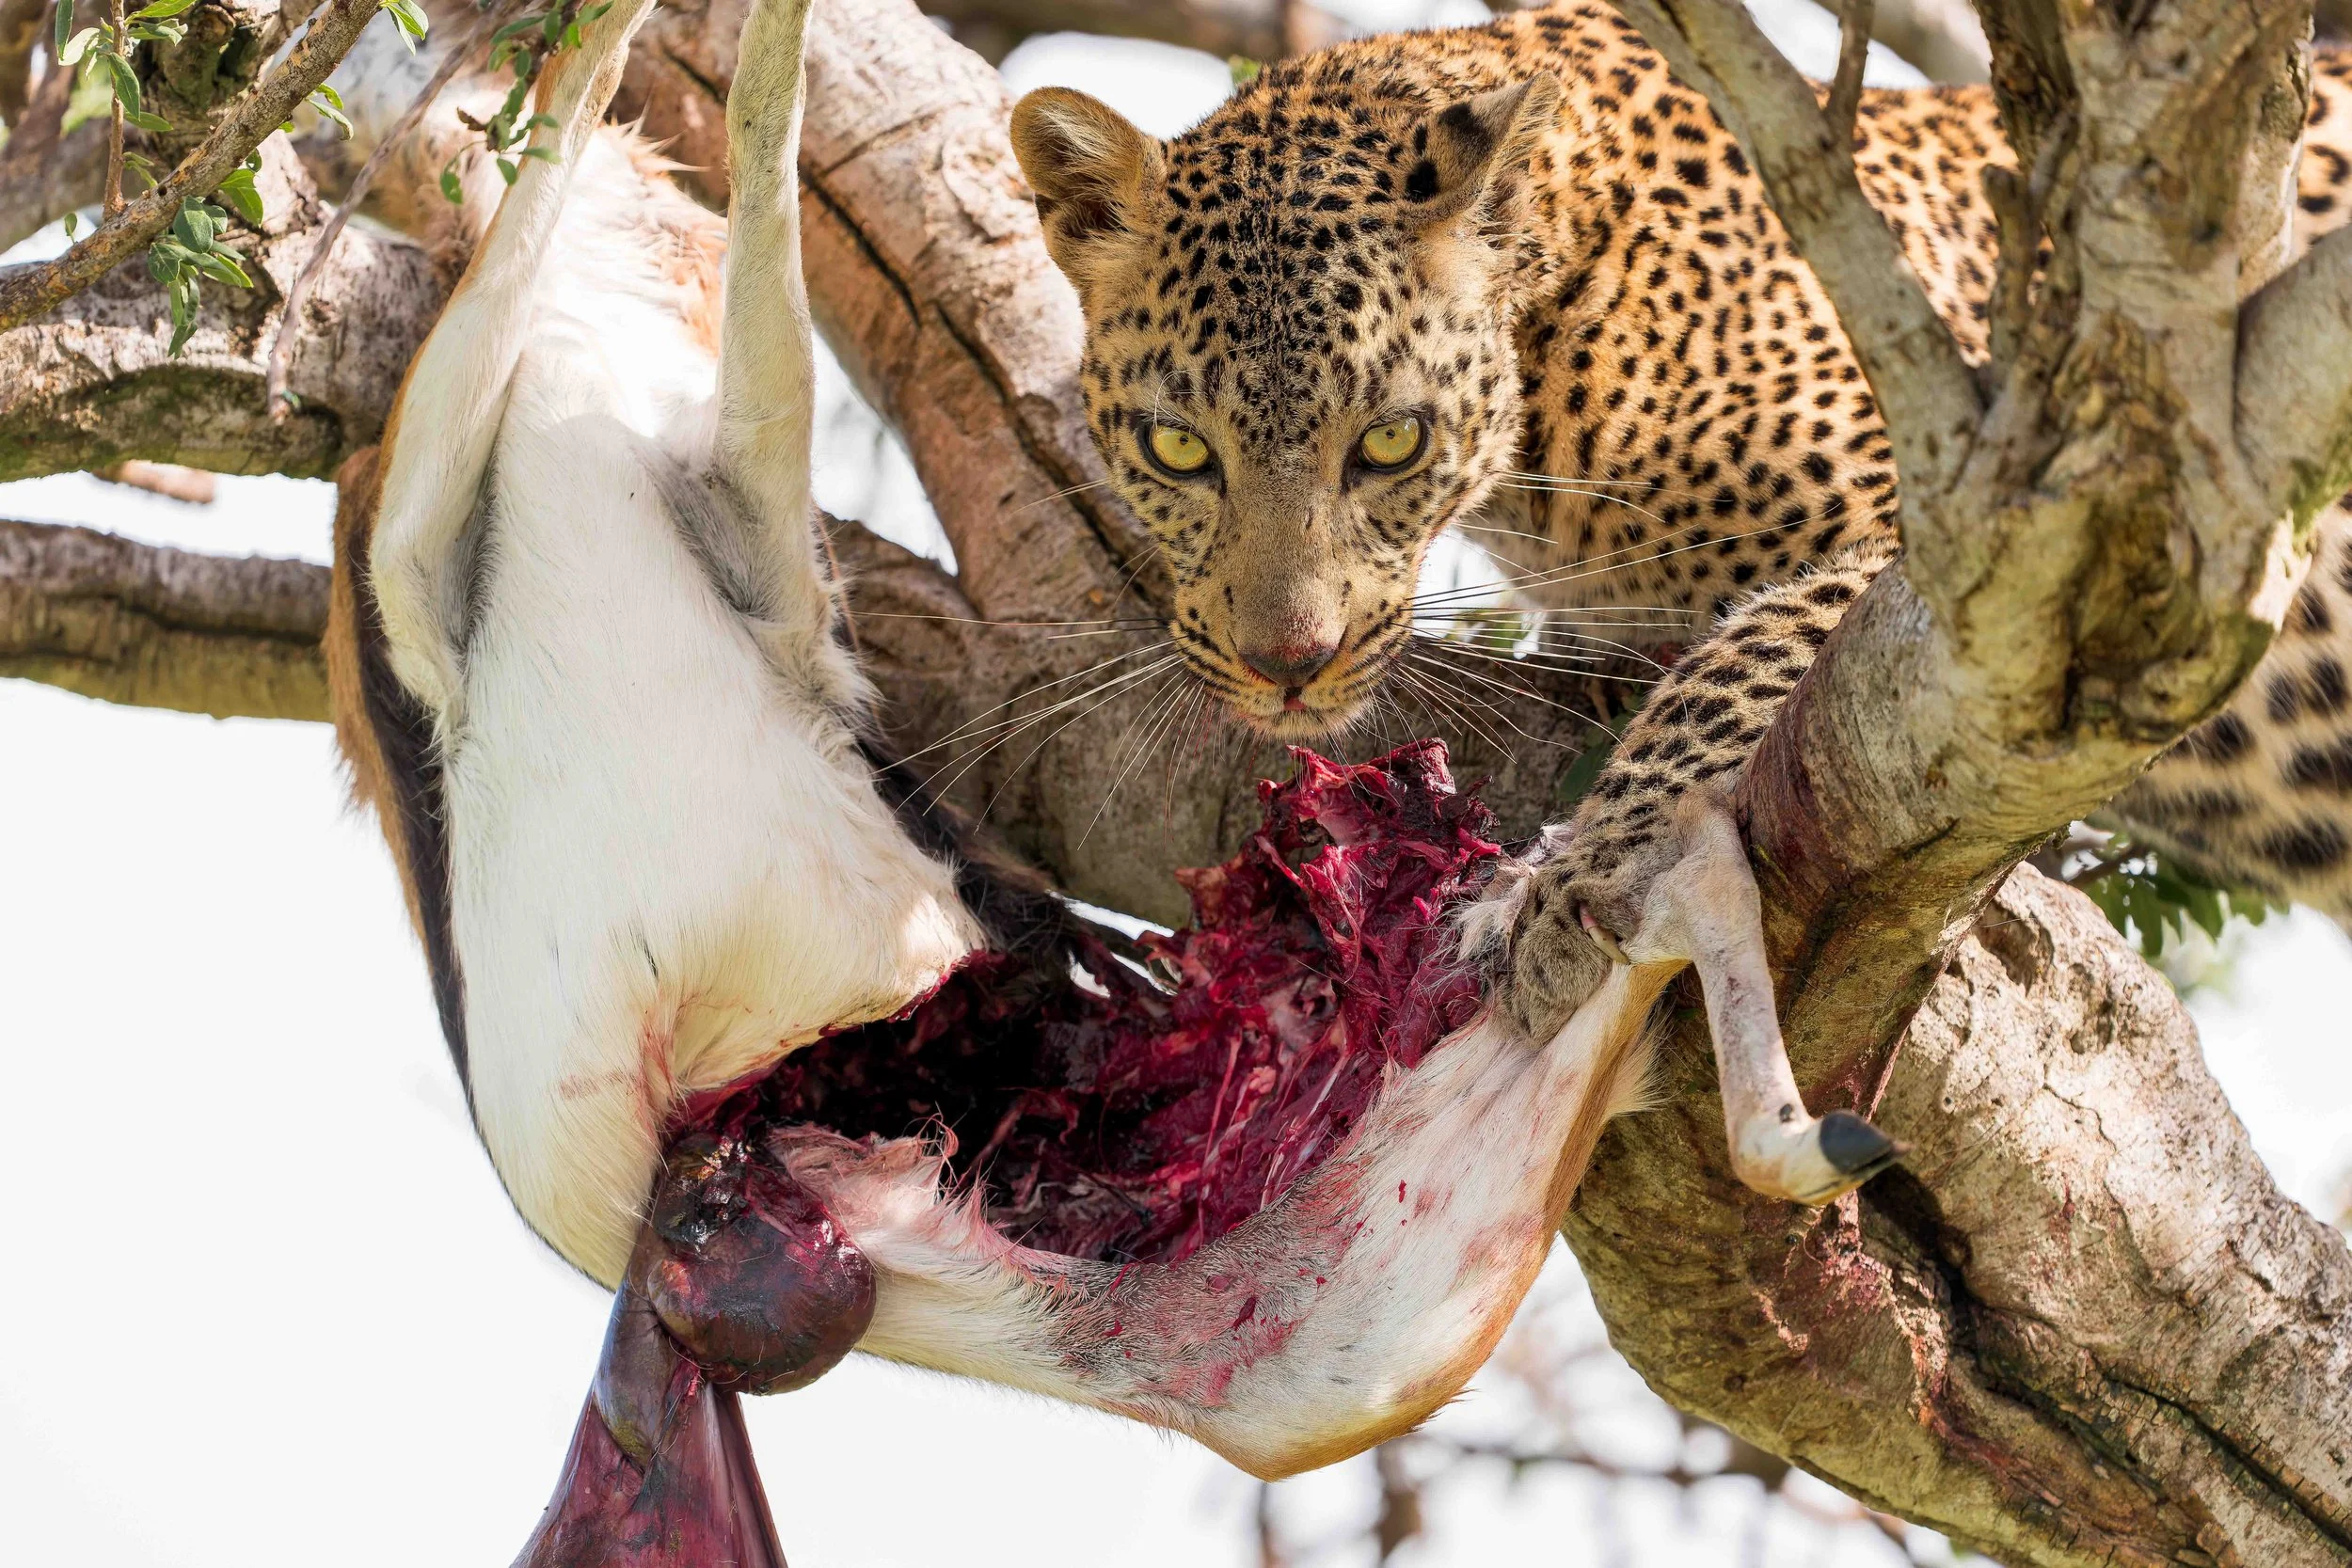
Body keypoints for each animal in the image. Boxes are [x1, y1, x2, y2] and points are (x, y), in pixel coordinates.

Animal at [1008, 0, 2352, 941]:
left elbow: (1732, 665)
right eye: (1178, 448)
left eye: (1390, 441)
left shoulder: (2019, 550)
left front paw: (1575, 868)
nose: (1289, 666)